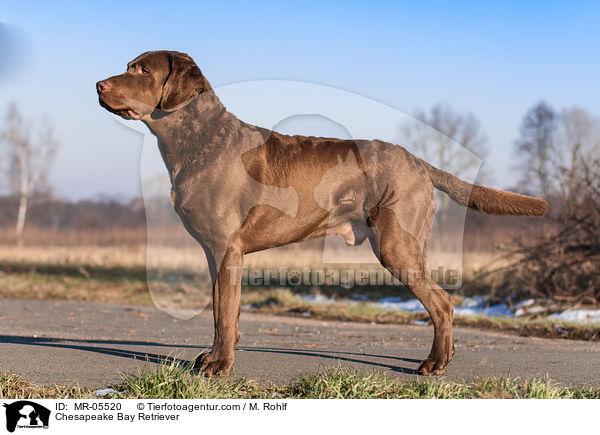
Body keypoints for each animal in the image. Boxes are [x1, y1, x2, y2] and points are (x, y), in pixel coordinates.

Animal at [95, 50, 548, 378]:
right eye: (129, 66)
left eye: (142, 69)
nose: (98, 84)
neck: (198, 140)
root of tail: (418, 162)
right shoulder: (215, 254)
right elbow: (223, 313)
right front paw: (211, 357)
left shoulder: (227, 249)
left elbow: (224, 312)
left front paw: (219, 366)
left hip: (397, 244)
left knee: (442, 301)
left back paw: (435, 363)